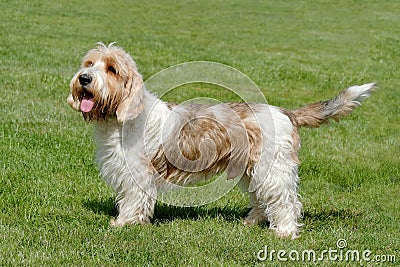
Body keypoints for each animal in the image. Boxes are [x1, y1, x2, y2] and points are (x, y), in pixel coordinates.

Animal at [66, 43, 376, 240]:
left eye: (112, 69)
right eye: (89, 63)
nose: (84, 78)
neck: (120, 119)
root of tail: (285, 112)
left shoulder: (136, 174)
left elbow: (133, 200)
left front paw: (124, 224)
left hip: (272, 170)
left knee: (286, 200)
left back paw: (285, 232)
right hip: (252, 170)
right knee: (262, 199)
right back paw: (251, 221)